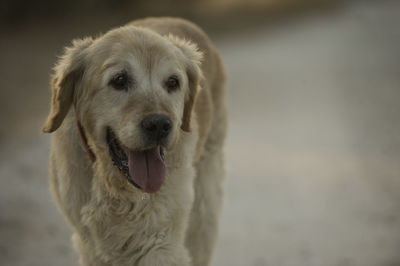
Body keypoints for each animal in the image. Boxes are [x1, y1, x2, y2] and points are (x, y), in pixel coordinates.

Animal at [43, 17, 228, 264]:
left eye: (173, 82)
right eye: (119, 80)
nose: (159, 125)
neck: (116, 189)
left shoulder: (160, 242)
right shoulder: (91, 245)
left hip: (204, 202)